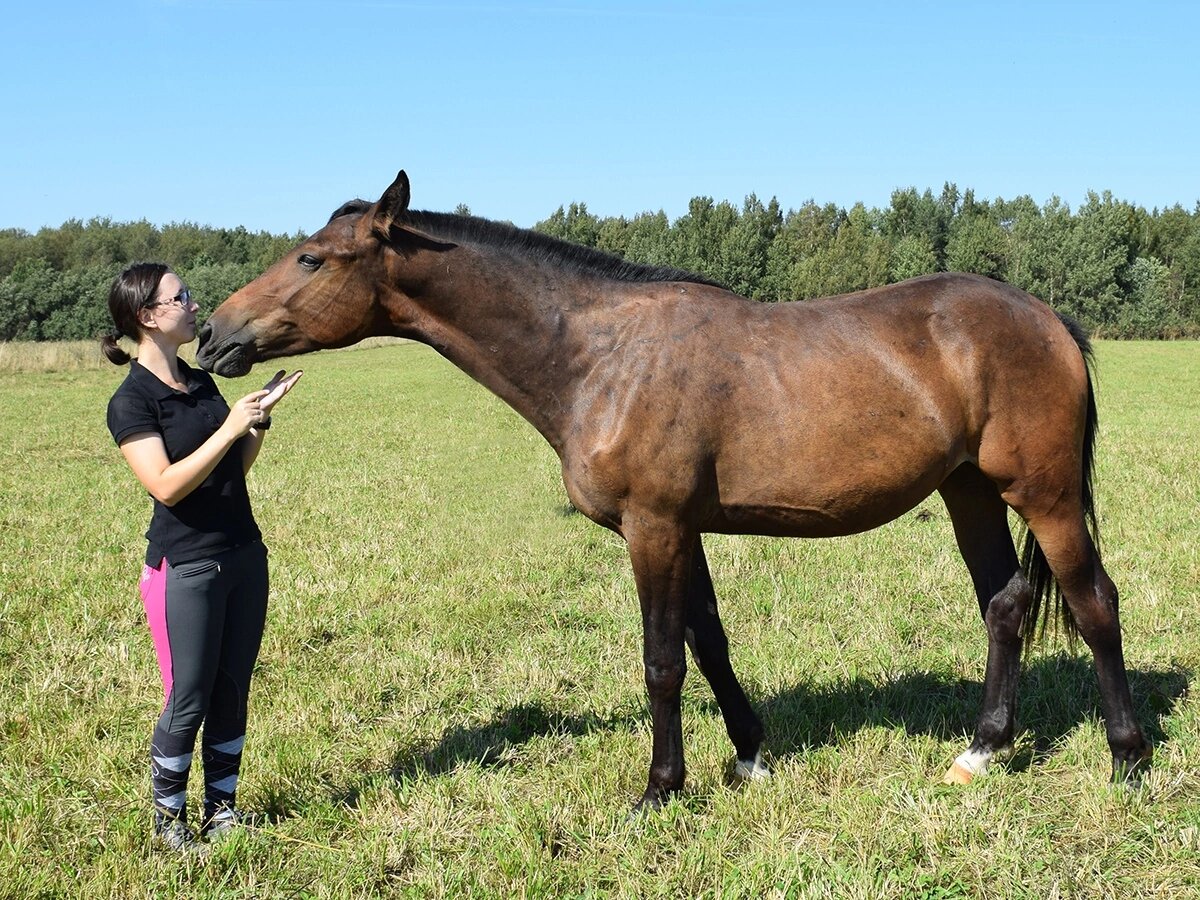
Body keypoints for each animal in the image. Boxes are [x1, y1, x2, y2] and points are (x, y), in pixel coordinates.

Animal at [199, 169, 1152, 811]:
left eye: (312, 257)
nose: (213, 336)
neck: (599, 357)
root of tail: (1046, 317)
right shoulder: (681, 528)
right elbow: (710, 643)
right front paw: (751, 756)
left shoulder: (651, 525)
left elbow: (662, 661)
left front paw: (660, 789)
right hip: (969, 493)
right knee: (1006, 602)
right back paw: (981, 752)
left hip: (1045, 496)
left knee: (1092, 602)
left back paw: (1128, 759)